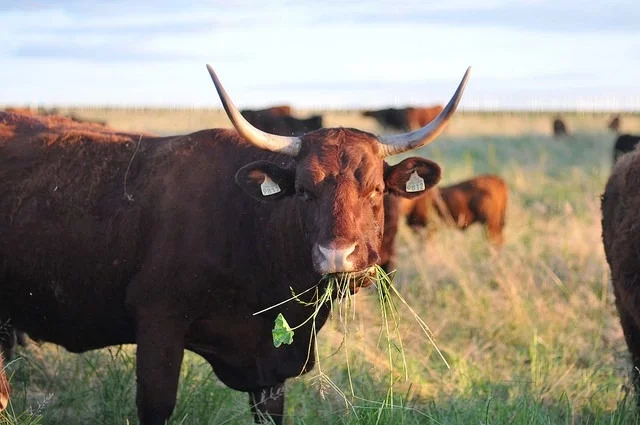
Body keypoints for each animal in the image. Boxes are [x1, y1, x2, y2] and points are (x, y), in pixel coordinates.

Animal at [0, 64, 471, 424]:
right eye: (303, 191)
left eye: (376, 190)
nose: (337, 257)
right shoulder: (158, 324)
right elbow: (157, 406)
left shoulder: (269, 369)